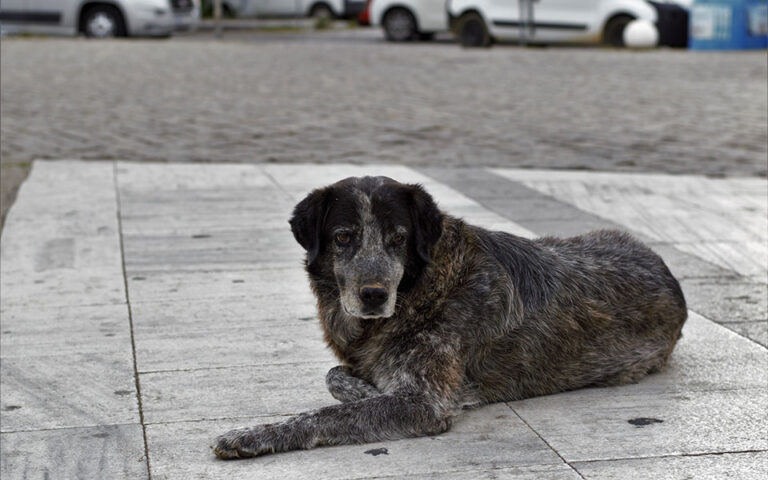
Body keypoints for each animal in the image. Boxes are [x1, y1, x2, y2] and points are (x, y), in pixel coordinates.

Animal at [213, 175, 688, 458]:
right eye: (343, 237)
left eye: (399, 238)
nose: (373, 295)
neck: (421, 288)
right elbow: (335, 376)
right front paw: (364, 386)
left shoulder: (424, 402)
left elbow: (323, 415)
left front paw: (252, 435)